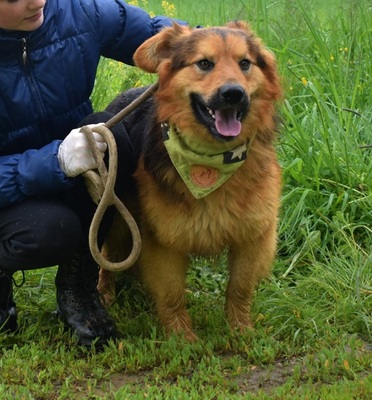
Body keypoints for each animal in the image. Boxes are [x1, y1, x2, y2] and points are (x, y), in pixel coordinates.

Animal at [99, 21, 282, 340]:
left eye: (244, 63)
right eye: (205, 63)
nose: (233, 94)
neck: (211, 164)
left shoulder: (253, 236)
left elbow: (240, 288)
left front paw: (241, 330)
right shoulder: (164, 239)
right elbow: (172, 293)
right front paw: (182, 338)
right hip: (117, 215)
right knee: (106, 257)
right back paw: (105, 294)